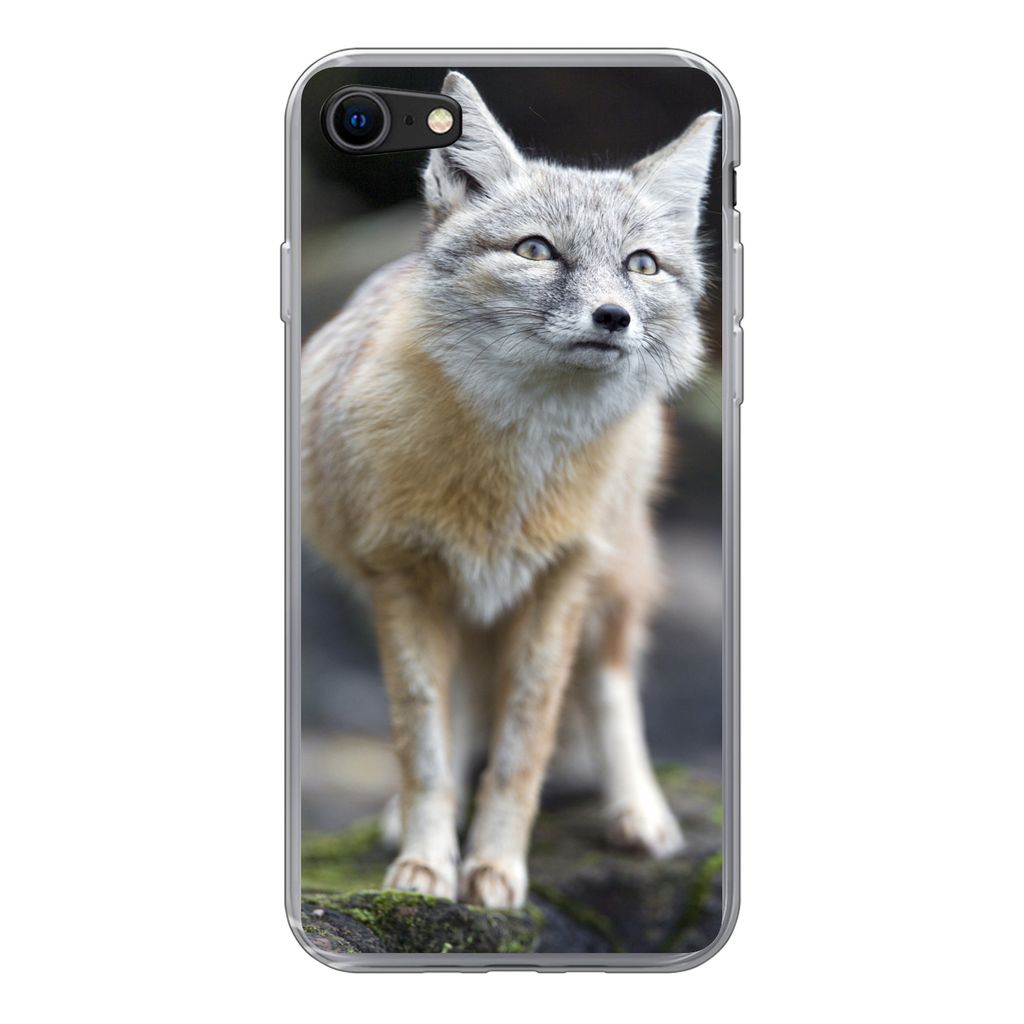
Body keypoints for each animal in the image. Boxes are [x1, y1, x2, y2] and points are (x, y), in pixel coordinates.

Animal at [301, 72, 720, 910]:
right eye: (536, 250)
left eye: (643, 265)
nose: (613, 317)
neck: (510, 484)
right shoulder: (403, 580)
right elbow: (424, 744)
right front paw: (427, 866)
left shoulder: (560, 582)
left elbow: (525, 745)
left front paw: (496, 868)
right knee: (460, 708)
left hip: (612, 580)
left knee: (610, 683)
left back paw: (639, 812)